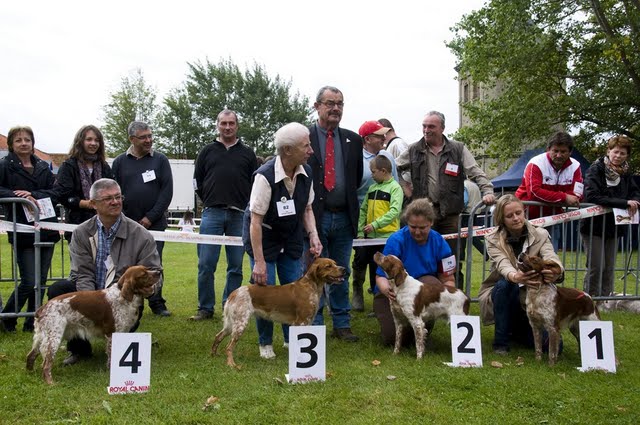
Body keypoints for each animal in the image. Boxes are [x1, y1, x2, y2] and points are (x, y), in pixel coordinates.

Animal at [26, 264, 160, 384]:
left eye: (148, 268)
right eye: (143, 274)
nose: (158, 272)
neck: (123, 296)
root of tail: (42, 308)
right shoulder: (112, 334)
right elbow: (111, 356)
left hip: (43, 336)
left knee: (31, 355)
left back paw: (30, 373)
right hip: (53, 337)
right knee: (46, 364)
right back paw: (50, 383)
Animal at [211, 255, 344, 368]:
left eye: (335, 263)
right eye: (328, 266)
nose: (343, 269)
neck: (311, 287)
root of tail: (233, 293)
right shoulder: (301, 322)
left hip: (231, 324)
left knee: (218, 336)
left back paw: (214, 355)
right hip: (240, 324)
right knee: (228, 347)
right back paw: (232, 364)